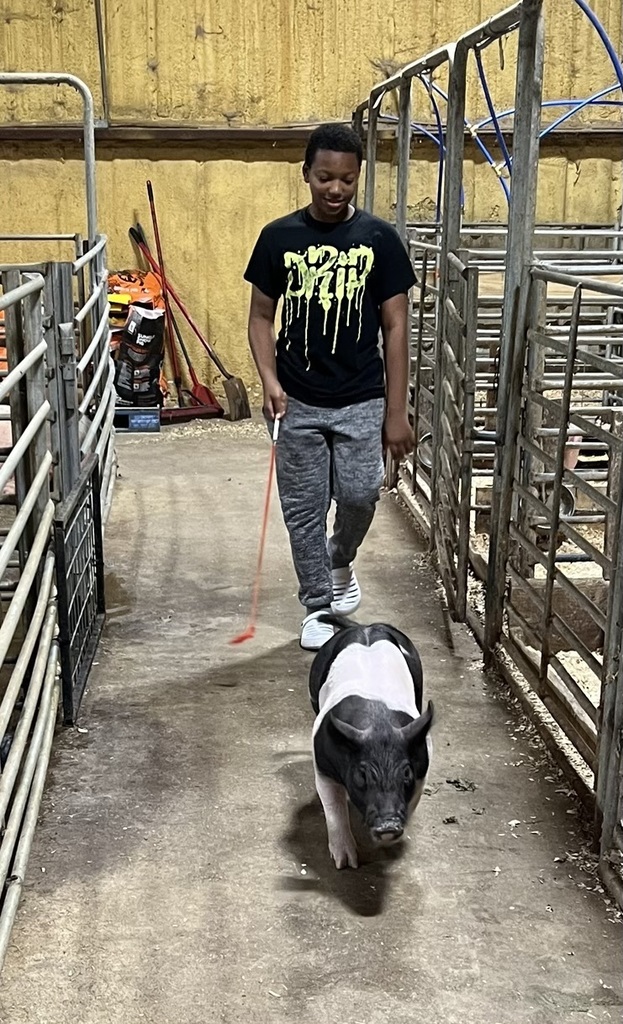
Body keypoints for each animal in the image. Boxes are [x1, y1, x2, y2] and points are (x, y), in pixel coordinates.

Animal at [309, 614, 433, 869]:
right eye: (361, 774)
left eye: (406, 773)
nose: (388, 826)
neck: (378, 725)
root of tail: (364, 627)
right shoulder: (322, 767)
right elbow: (334, 811)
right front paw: (346, 864)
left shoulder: (423, 763)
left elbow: (413, 800)